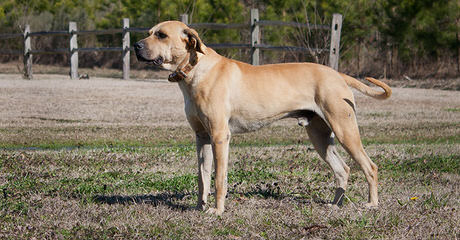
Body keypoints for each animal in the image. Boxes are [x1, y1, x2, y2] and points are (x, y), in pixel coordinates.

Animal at [133, 21, 392, 216]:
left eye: (162, 35)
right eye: (149, 32)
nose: (135, 45)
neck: (194, 69)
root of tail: (338, 74)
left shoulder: (219, 136)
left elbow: (219, 179)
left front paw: (217, 210)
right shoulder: (202, 137)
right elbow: (203, 177)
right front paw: (200, 207)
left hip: (344, 129)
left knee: (370, 167)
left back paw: (372, 204)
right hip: (319, 136)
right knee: (343, 169)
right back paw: (335, 204)